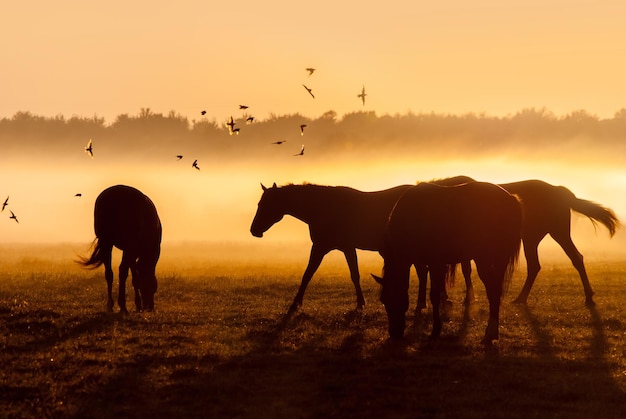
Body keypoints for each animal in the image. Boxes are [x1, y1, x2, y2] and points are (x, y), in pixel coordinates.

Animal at [78, 185, 162, 314]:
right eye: (153, 286)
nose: (149, 307)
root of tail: (116, 195)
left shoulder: (132, 254)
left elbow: (135, 277)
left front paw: (137, 304)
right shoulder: (132, 250)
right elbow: (134, 277)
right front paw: (137, 305)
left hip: (106, 241)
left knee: (109, 273)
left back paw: (110, 305)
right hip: (126, 245)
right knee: (122, 271)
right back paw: (123, 306)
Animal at [246, 182, 412, 314]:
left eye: (266, 205)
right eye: (259, 204)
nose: (254, 230)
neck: (325, 208)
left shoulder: (342, 247)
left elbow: (354, 275)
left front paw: (360, 303)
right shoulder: (320, 247)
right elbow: (307, 274)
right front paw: (296, 303)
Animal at [370, 181, 520, 344]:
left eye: (396, 299)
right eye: (383, 300)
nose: (394, 334)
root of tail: (511, 199)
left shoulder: (435, 263)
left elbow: (434, 296)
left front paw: (436, 330)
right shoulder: (433, 264)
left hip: (484, 260)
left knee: (493, 292)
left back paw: (489, 334)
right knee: (496, 292)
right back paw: (493, 333)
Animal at [414, 176, 620, 310]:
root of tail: (557, 190)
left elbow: (464, 270)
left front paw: (465, 299)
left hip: (543, 235)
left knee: (552, 263)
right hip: (546, 235)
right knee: (567, 260)